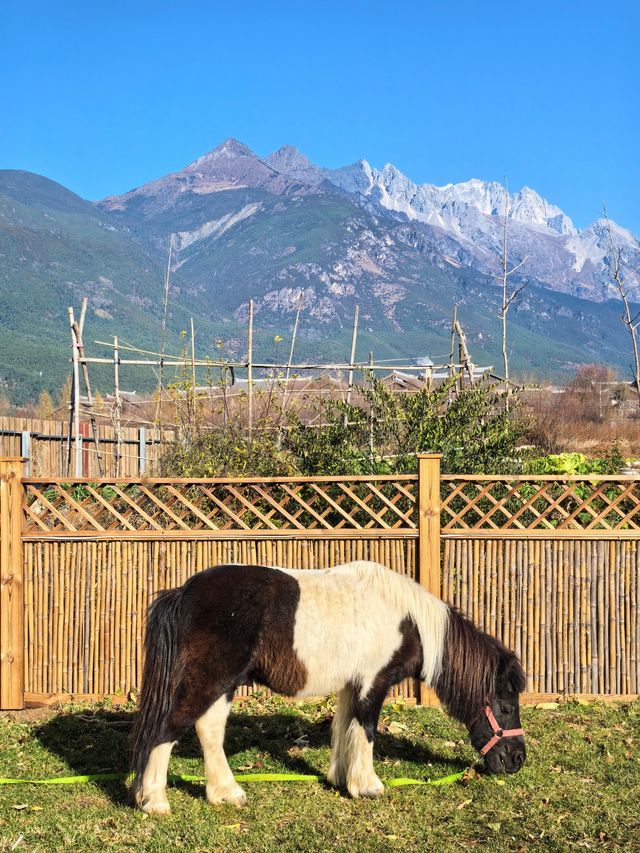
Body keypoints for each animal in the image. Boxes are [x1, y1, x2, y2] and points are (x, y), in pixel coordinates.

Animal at [131, 560, 524, 812]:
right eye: (506, 707)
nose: (517, 759)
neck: (409, 619)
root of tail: (184, 592)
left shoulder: (353, 685)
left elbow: (344, 728)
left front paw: (341, 778)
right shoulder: (373, 683)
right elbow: (366, 730)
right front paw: (368, 786)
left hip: (223, 684)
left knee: (208, 730)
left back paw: (225, 793)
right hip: (210, 679)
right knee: (167, 729)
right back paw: (154, 802)